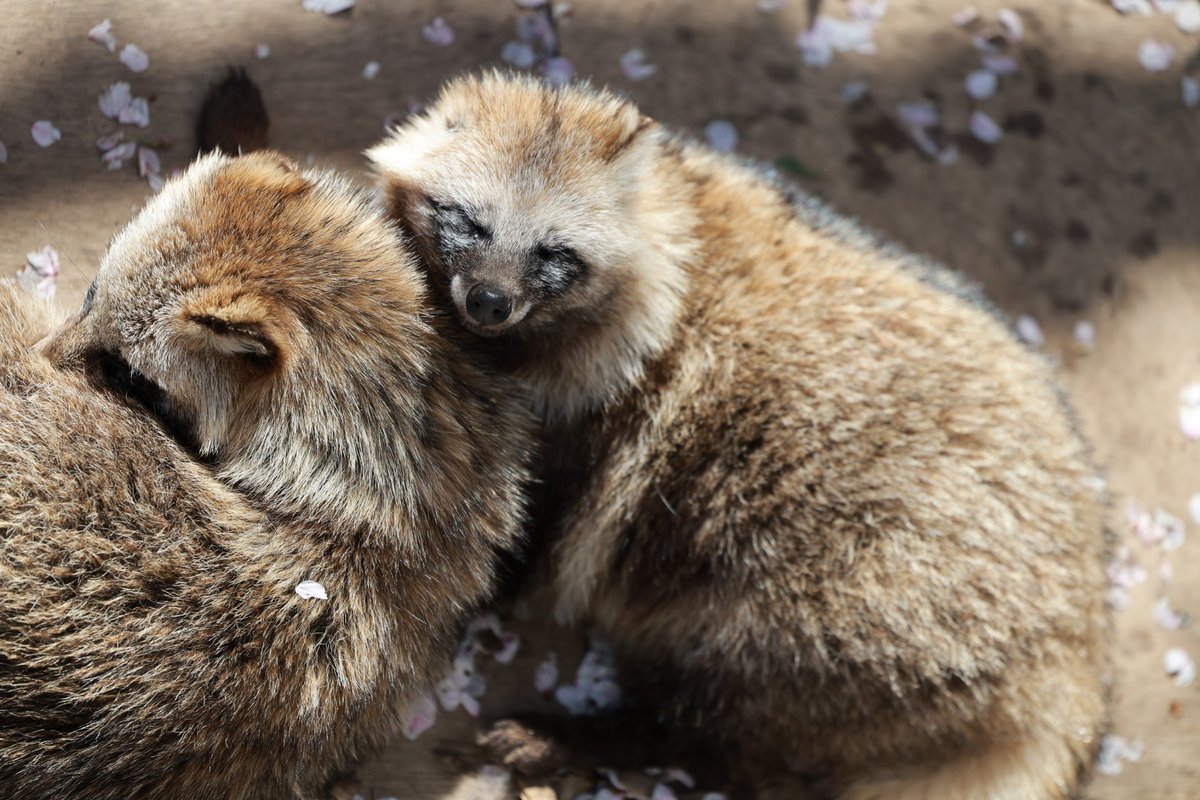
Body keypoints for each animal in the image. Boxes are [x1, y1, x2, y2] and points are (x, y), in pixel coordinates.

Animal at [362, 71, 1104, 796]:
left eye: (554, 252)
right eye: (467, 219)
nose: (489, 303)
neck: (671, 210)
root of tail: (1073, 654)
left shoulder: (606, 422)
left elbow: (531, 532)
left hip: (862, 590)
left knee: (731, 704)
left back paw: (606, 737)